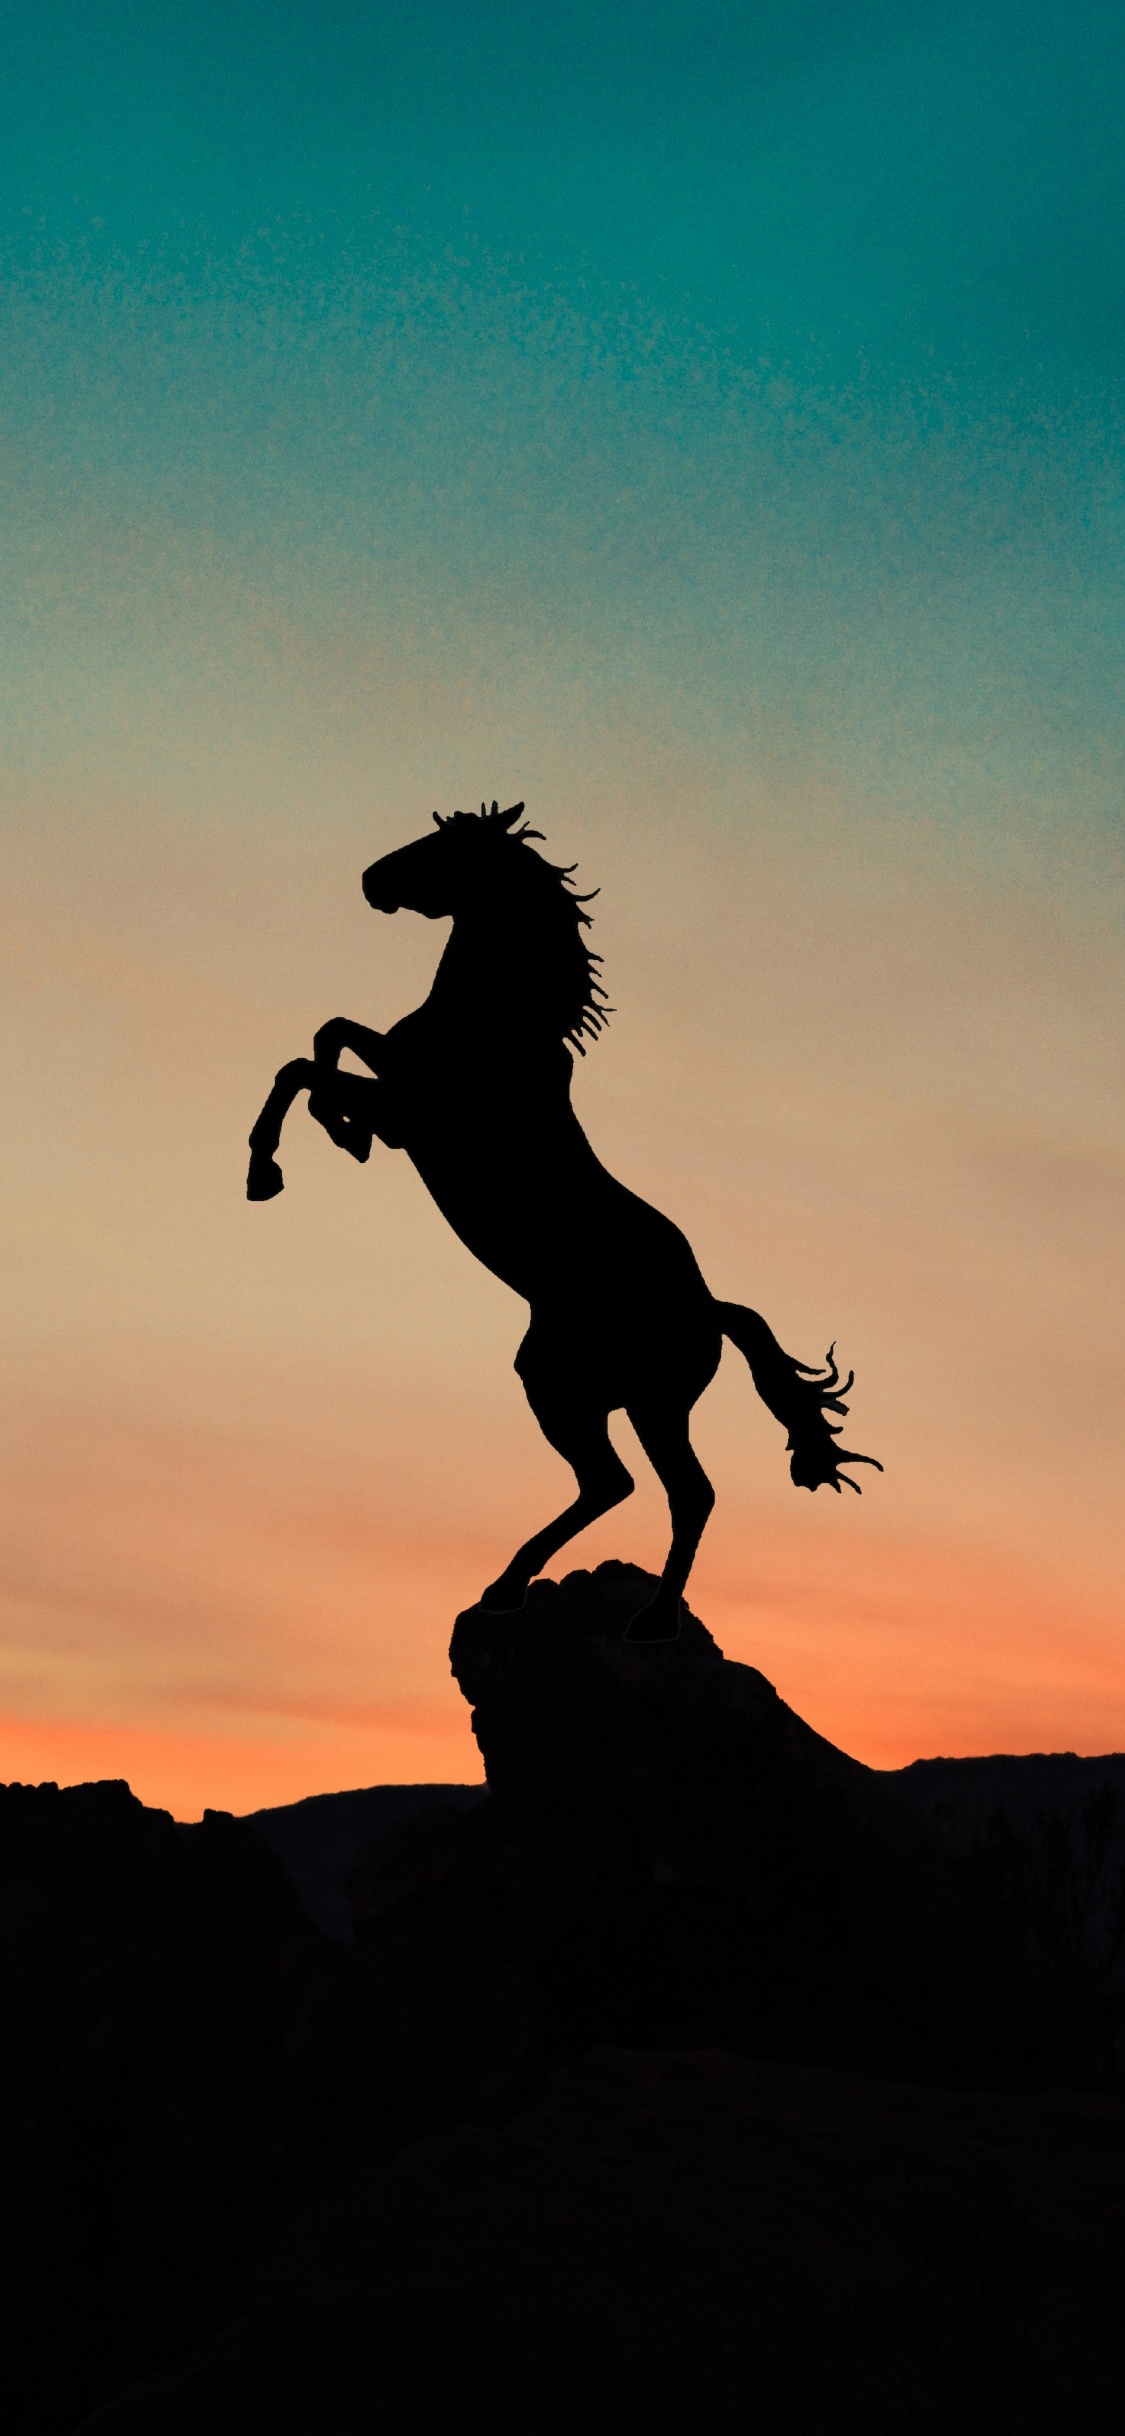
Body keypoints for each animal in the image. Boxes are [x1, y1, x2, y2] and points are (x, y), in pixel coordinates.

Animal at [245, 808, 876, 1646]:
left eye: (444, 845)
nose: (372, 881)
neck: (496, 1020)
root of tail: (710, 1309)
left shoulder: (414, 1111)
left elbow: (305, 1067)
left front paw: (273, 1167)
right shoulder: (394, 1076)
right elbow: (330, 1034)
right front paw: (338, 1137)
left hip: (635, 1400)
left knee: (676, 1489)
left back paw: (644, 1617)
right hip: (571, 1387)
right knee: (614, 1483)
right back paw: (511, 1586)